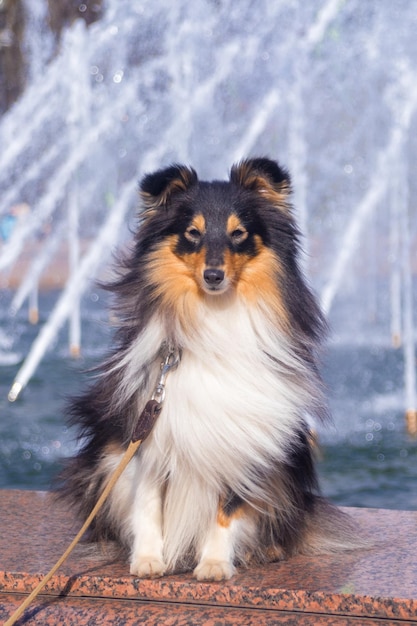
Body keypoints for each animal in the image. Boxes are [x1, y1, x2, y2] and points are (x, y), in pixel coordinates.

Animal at [60, 157, 356, 580]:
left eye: (239, 234)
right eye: (192, 233)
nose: (213, 276)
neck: (212, 315)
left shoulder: (245, 437)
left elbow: (228, 509)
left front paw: (214, 564)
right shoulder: (146, 431)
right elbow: (147, 502)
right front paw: (148, 559)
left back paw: (266, 551)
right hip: (102, 461)